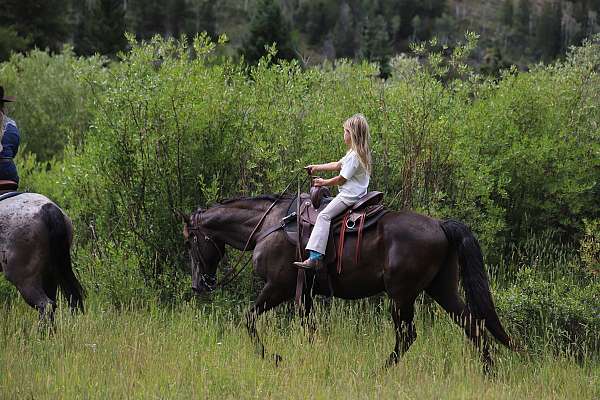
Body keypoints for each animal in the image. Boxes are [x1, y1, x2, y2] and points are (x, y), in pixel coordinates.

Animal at [183, 195, 516, 370]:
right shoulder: (304, 294)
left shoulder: (278, 287)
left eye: (190, 242)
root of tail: (440, 224)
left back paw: (381, 371)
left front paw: (274, 357)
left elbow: (248, 319)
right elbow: (310, 328)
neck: (267, 225)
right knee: (472, 324)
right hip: (441, 289)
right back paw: (490, 372)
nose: (200, 285)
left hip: (401, 295)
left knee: (407, 335)